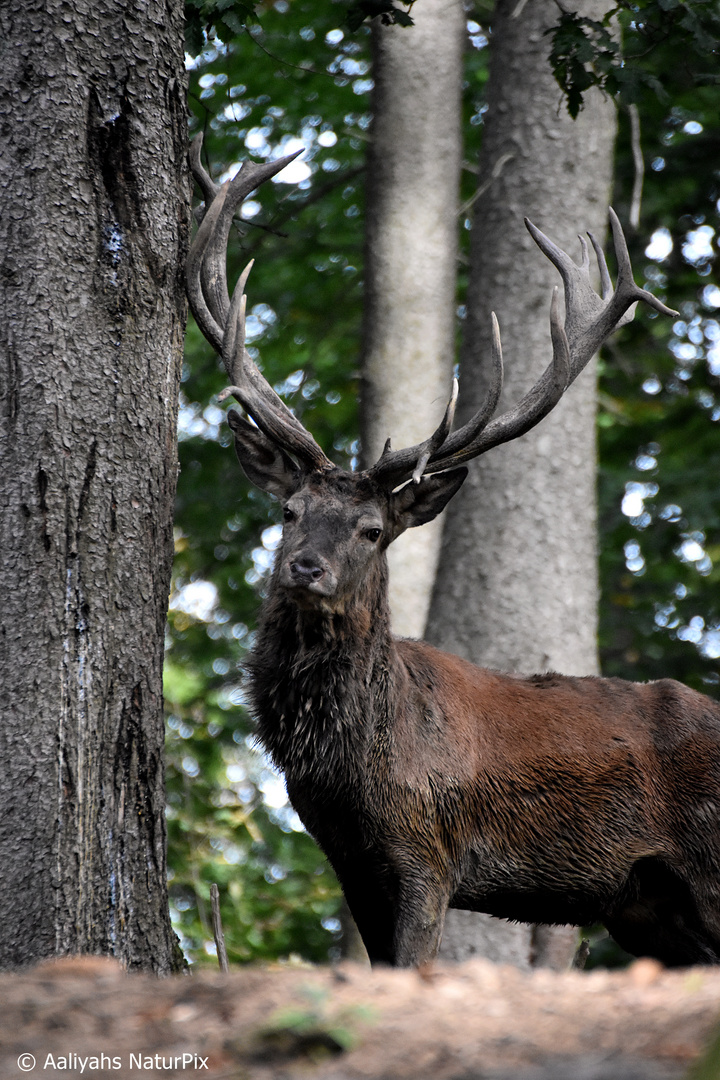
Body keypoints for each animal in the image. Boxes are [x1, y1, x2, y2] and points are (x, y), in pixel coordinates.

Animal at [185, 135, 720, 972]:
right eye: (289, 510)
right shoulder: (350, 862)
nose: (305, 568)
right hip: (648, 908)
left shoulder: (427, 853)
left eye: (373, 530)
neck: (352, 769)